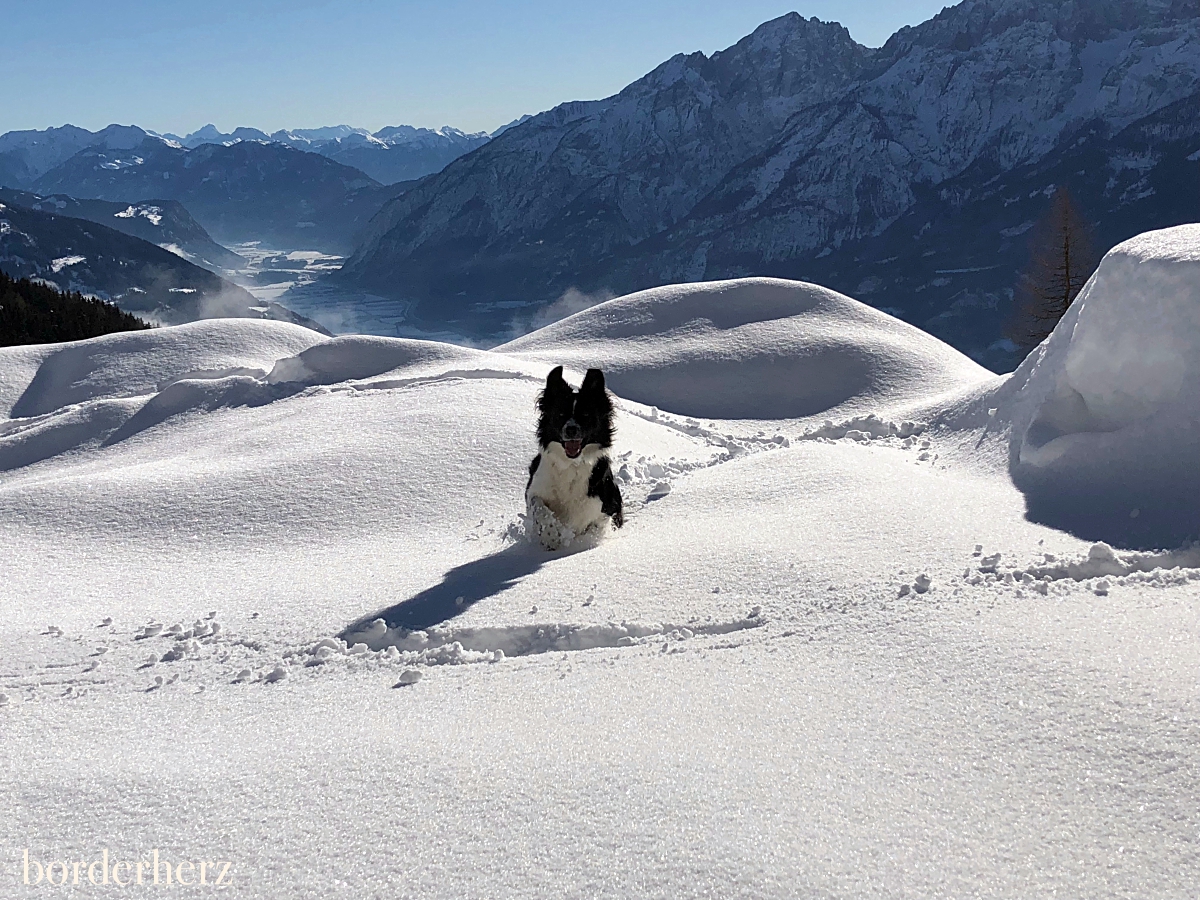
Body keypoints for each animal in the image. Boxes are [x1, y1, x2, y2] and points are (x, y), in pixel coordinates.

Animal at [525, 367, 624, 549]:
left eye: (585, 415)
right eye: (560, 414)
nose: (571, 429)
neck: (571, 464)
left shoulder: (606, 506)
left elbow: (596, 527)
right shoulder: (535, 489)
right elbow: (539, 508)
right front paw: (551, 537)